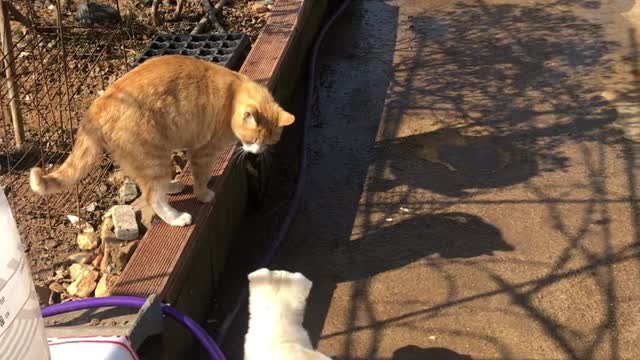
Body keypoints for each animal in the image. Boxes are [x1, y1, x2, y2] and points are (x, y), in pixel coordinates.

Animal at [30, 54, 296, 225]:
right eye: (253, 138)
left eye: (269, 142)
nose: (256, 152)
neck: (232, 94)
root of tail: (99, 104)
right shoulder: (202, 152)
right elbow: (201, 178)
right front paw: (204, 195)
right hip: (153, 157)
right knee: (152, 197)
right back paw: (177, 218)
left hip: (150, 157)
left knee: (149, 184)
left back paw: (172, 185)